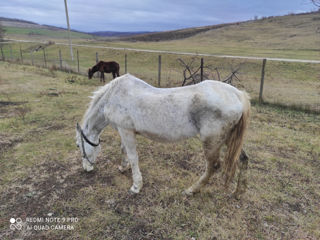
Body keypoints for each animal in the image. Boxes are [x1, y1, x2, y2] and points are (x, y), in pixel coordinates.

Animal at [75, 74, 250, 198]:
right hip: (229, 140)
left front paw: (136, 186)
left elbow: (133, 156)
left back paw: (191, 190)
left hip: (211, 142)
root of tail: (237, 94)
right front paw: (123, 167)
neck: (113, 96)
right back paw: (238, 192)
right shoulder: (123, 131)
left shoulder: (126, 131)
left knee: (212, 167)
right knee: (243, 159)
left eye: (78, 145)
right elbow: (123, 150)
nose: (86, 168)